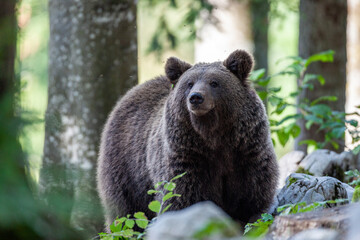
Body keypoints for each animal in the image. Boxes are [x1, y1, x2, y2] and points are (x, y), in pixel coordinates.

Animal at [97, 49, 280, 227]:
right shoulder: (187, 157)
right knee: (125, 211)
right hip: (126, 166)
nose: (196, 97)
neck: (214, 135)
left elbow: (251, 194)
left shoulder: (246, 151)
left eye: (214, 82)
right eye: (189, 83)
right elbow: (182, 196)